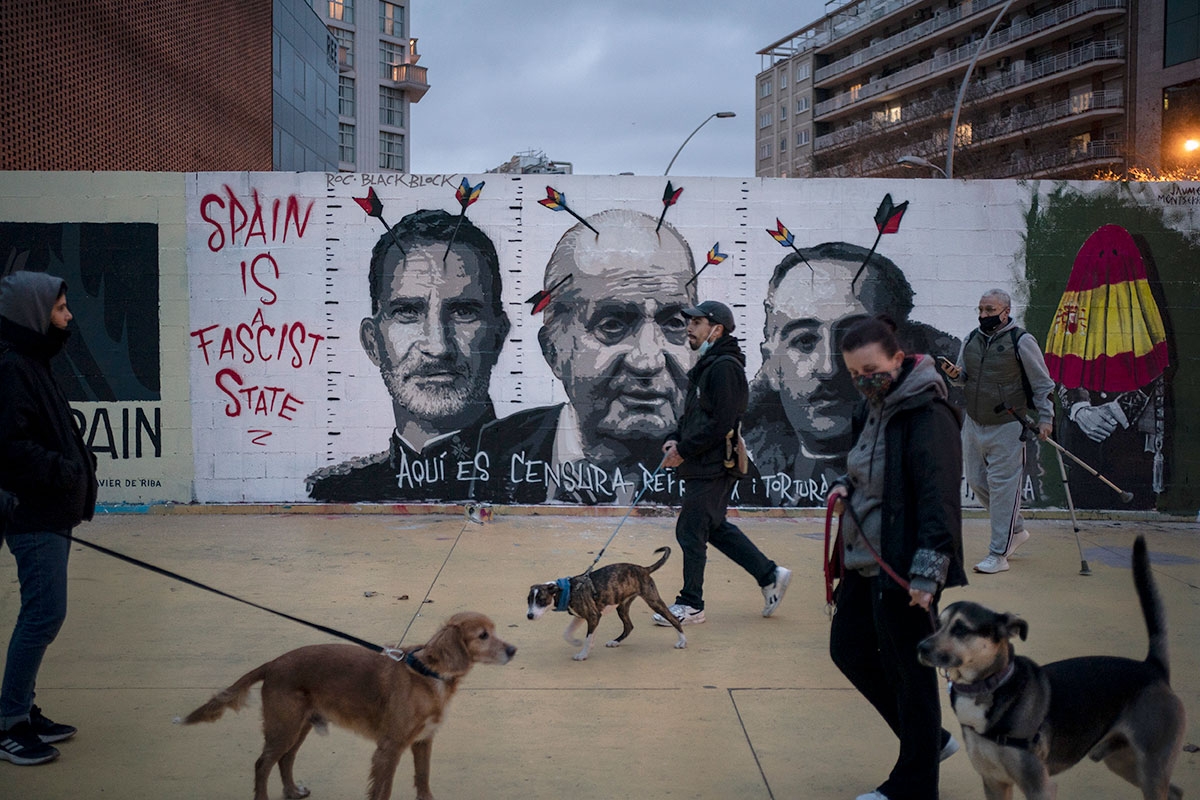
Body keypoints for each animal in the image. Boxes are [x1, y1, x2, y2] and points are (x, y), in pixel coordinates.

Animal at [178, 614, 516, 800]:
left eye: (494, 631)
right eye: (483, 635)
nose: (513, 650)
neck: (428, 674)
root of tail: (273, 663)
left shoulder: (423, 741)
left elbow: (423, 779)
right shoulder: (390, 747)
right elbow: (383, 790)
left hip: (299, 727)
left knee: (285, 760)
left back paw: (292, 792)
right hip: (284, 727)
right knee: (262, 764)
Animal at [525, 544, 686, 662]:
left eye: (541, 600)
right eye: (528, 600)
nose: (529, 616)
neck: (568, 590)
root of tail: (644, 569)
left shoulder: (593, 616)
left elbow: (589, 638)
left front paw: (582, 654)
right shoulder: (580, 616)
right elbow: (567, 633)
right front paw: (576, 642)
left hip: (653, 601)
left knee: (674, 619)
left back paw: (682, 642)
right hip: (622, 606)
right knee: (629, 626)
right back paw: (615, 641)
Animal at [916, 537, 1180, 800]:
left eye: (961, 629)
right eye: (937, 624)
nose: (920, 647)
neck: (989, 687)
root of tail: (1153, 668)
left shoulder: (1039, 786)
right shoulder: (994, 781)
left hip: (1150, 768)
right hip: (1122, 761)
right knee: (1176, 791)